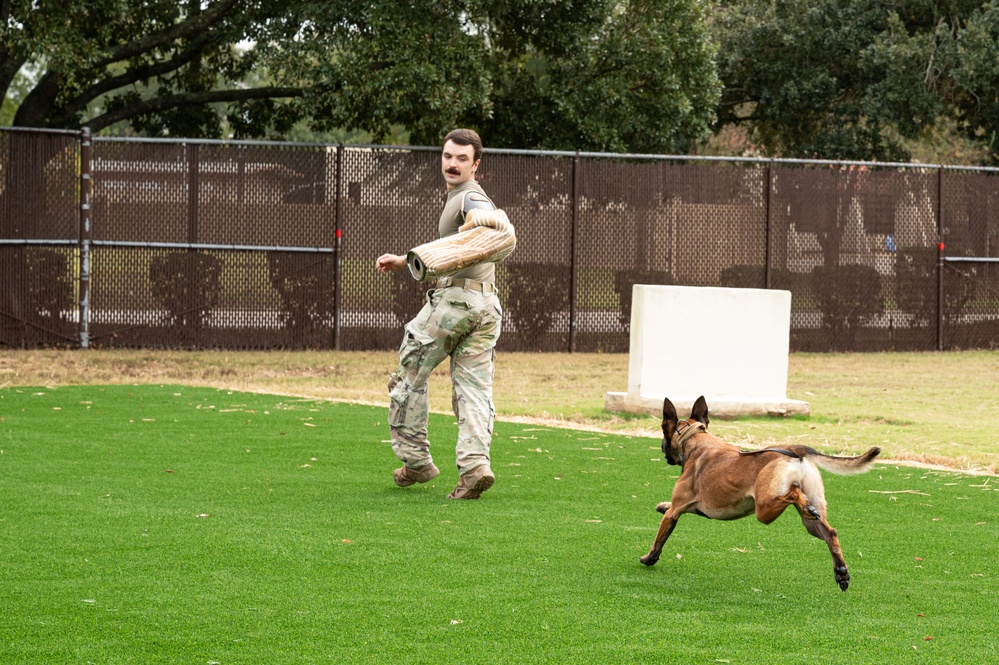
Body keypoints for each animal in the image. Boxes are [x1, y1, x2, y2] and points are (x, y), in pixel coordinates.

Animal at [644, 394, 880, 588]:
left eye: (663, 434)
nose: (663, 449)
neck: (697, 442)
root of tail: (794, 450)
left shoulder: (675, 512)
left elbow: (659, 538)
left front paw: (649, 558)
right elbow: (669, 507)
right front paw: (661, 505)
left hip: (764, 509)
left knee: (793, 493)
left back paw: (803, 502)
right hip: (812, 523)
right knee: (830, 533)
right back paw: (840, 571)